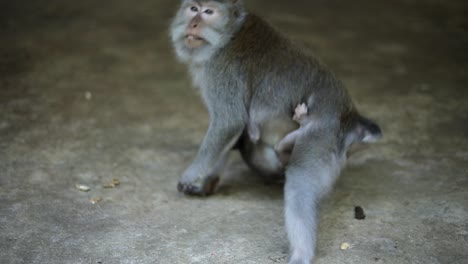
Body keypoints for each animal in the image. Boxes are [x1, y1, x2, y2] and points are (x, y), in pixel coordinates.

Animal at [168, 1, 380, 262]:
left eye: (208, 11)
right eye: (193, 8)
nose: (194, 23)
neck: (228, 37)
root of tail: (351, 115)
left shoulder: (222, 73)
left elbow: (228, 122)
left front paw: (189, 177)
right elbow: (233, 134)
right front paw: (203, 184)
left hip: (325, 130)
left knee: (301, 183)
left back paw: (301, 254)